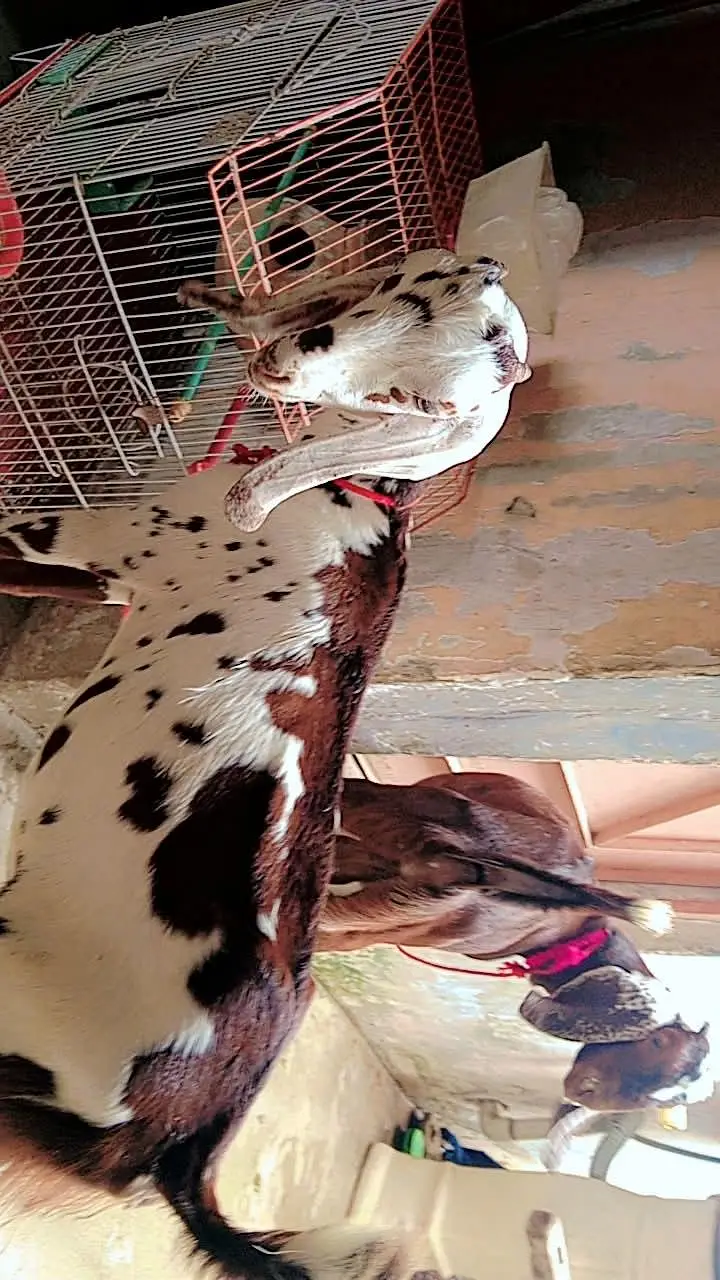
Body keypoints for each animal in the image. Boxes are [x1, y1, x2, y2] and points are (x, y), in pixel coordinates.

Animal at [0, 252, 528, 1279]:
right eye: (402, 296)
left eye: (421, 402)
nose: (290, 359)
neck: (356, 490)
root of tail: (181, 1148)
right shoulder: (98, 570)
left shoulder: (81, 539)